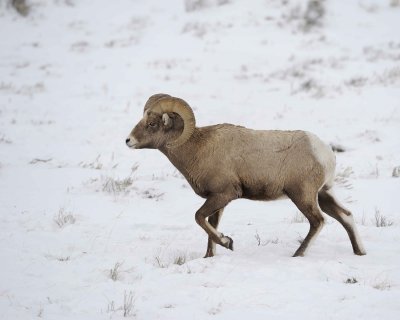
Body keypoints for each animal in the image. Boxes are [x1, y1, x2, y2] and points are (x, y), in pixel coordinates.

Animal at [125, 94, 366, 258]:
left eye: (152, 123)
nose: (128, 141)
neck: (197, 149)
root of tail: (324, 152)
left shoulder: (224, 194)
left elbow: (199, 218)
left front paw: (228, 243)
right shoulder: (218, 201)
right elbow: (210, 225)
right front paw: (209, 257)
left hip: (302, 196)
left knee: (318, 221)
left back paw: (297, 255)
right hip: (323, 194)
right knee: (345, 216)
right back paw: (359, 252)